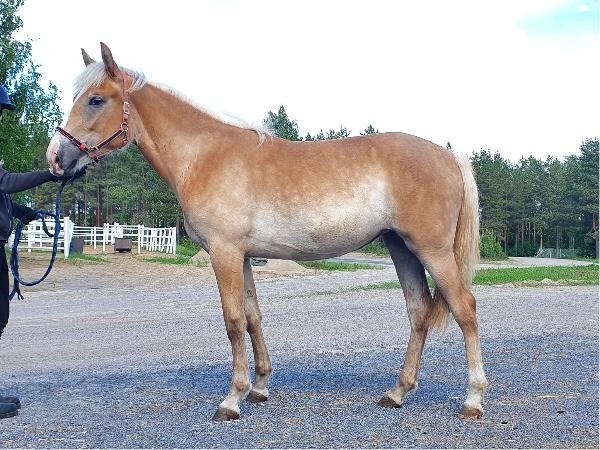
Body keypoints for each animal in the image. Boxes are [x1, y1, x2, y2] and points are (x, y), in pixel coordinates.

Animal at [47, 43, 488, 422]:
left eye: (96, 100)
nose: (56, 157)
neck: (205, 157)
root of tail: (449, 155)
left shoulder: (224, 252)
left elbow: (232, 321)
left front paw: (231, 400)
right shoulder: (241, 256)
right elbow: (253, 317)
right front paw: (258, 388)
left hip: (431, 250)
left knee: (464, 308)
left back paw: (473, 399)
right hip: (402, 248)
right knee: (418, 311)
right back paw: (397, 392)